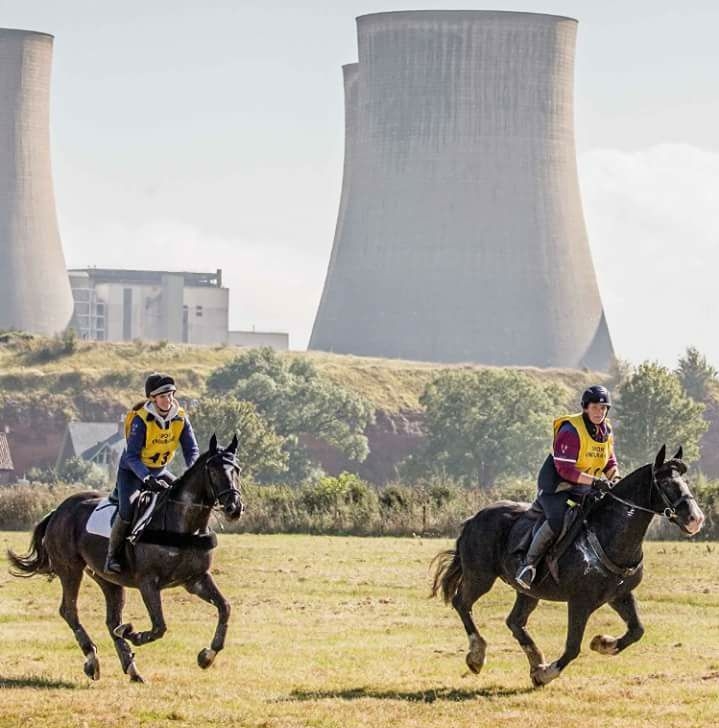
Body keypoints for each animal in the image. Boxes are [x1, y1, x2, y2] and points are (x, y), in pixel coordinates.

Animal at [7, 432, 245, 684]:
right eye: (214, 471)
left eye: (237, 470)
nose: (234, 508)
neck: (183, 524)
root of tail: (57, 511)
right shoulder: (148, 582)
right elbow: (159, 626)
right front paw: (133, 633)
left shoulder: (196, 579)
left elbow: (225, 607)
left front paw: (207, 656)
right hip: (70, 569)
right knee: (70, 611)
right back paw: (92, 659)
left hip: (108, 579)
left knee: (111, 620)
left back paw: (132, 669)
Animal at [430, 444, 704, 688]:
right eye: (665, 484)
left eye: (685, 482)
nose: (695, 519)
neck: (610, 534)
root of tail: (473, 518)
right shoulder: (580, 601)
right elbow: (573, 647)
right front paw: (547, 674)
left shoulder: (620, 595)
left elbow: (637, 630)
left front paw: (602, 644)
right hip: (481, 577)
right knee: (462, 603)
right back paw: (478, 655)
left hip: (528, 591)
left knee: (514, 622)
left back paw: (535, 661)